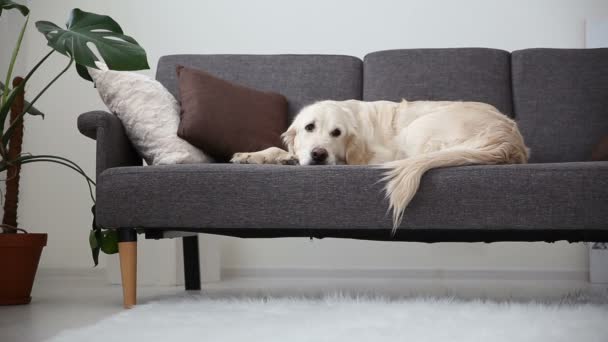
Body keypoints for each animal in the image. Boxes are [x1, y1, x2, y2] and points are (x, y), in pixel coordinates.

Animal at [230, 99, 528, 232]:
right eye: (309, 127)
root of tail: (509, 138)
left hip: (416, 130)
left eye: (336, 133)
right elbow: (278, 149)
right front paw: (253, 155)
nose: (318, 154)